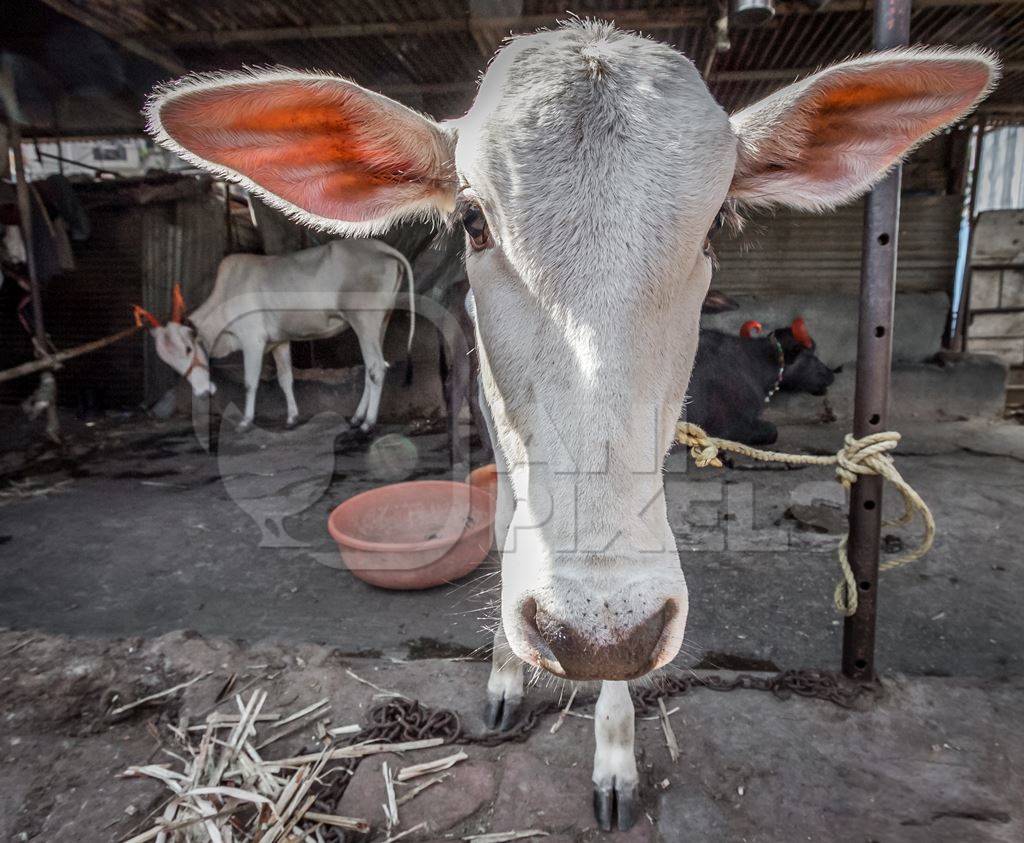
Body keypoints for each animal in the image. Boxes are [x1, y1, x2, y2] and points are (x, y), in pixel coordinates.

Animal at [134, 238, 413, 432]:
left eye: (188, 349)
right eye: (169, 362)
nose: (203, 392)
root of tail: (382, 248)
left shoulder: (253, 340)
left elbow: (250, 382)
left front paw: (246, 422)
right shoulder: (280, 341)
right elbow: (285, 378)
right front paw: (291, 417)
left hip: (365, 320)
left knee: (376, 367)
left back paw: (368, 423)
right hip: (381, 321)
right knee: (372, 367)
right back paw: (357, 417)